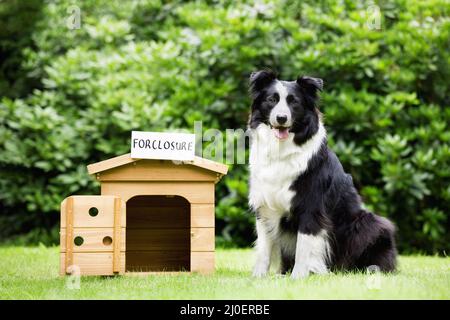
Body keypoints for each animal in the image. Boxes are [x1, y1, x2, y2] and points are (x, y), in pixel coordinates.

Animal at [246, 70, 398, 278]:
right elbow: (263, 248)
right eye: (271, 100)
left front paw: (298, 276)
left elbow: (304, 246)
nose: (281, 118)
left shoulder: (311, 206)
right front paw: (258, 277)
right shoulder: (265, 206)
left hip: (370, 223)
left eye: (294, 102)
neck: (281, 150)